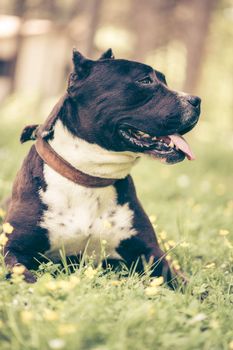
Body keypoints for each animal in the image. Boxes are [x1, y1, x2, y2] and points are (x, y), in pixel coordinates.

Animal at [3, 48, 200, 284]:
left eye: (164, 80)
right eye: (145, 80)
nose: (196, 100)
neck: (91, 176)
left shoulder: (150, 253)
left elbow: (182, 282)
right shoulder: (14, 249)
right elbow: (24, 275)